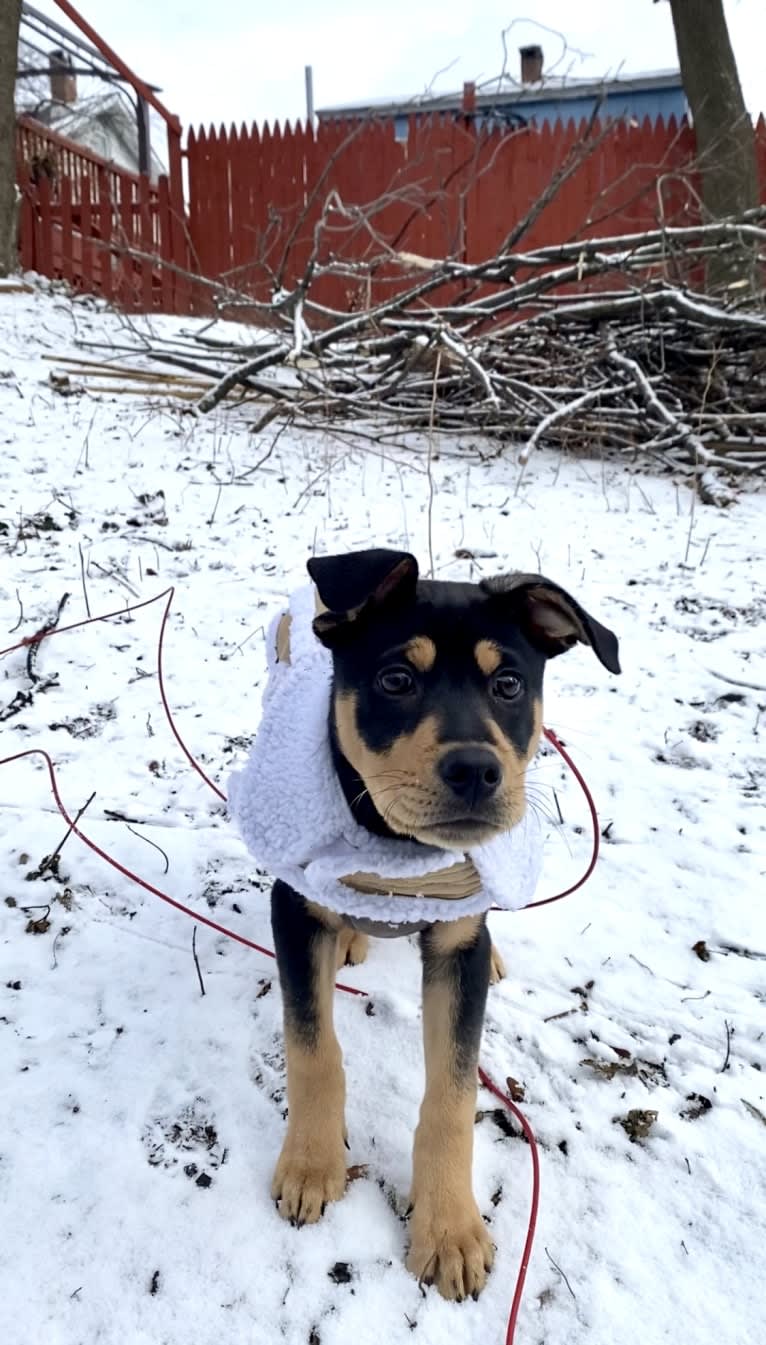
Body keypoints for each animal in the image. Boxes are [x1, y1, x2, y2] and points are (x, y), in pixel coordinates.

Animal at [267, 546, 615, 1301]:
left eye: (509, 684)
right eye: (396, 679)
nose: (477, 769)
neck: (398, 850)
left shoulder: (457, 944)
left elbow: (453, 1095)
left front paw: (450, 1227)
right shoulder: (293, 907)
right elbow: (313, 1048)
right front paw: (310, 1164)